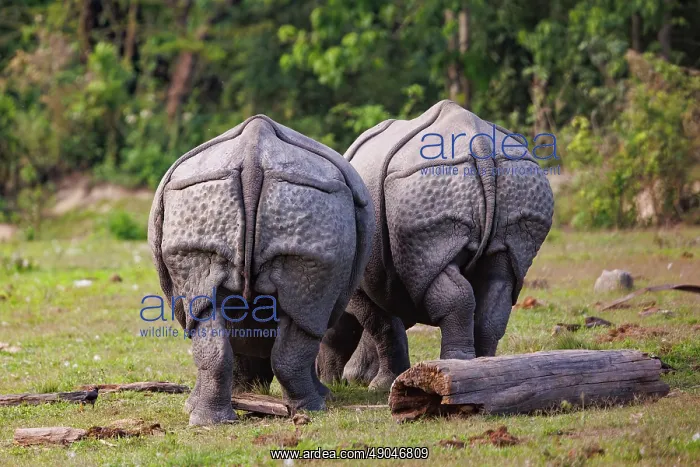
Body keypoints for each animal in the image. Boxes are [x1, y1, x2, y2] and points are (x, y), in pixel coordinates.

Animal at [148, 115, 373, 424]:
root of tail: (253, 158)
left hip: (207, 197)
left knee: (208, 310)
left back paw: (211, 422)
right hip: (306, 197)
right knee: (303, 320)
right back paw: (313, 408)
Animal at [317, 100, 554, 390]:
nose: (321, 373)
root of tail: (481, 147)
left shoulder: (365, 286)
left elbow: (381, 328)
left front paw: (379, 384)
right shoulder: (389, 277)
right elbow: (384, 329)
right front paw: (368, 378)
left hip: (427, 181)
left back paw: (456, 370)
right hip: (518, 179)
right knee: (499, 281)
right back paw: (485, 372)